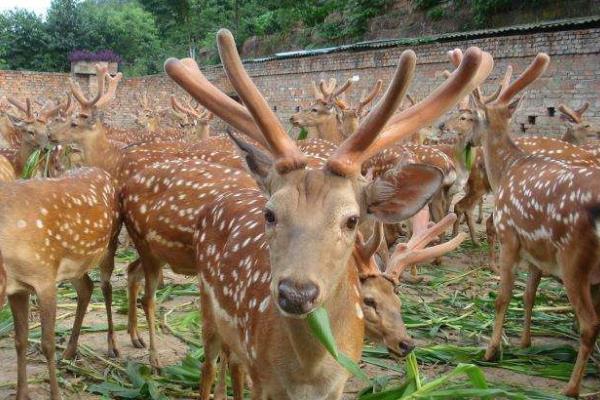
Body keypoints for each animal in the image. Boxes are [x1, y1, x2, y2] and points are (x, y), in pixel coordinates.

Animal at [165, 28, 492, 400]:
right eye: (269, 214)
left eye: (352, 220)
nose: (296, 293)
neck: (308, 375)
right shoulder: (263, 377)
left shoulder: (339, 382)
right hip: (208, 308)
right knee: (209, 365)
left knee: (232, 364)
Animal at [466, 52, 600, 396]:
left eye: (473, 118)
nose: (469, 143)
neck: (506, 170)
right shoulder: (536, 253)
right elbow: (529, 295)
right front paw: (525, 342)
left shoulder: (511, 238)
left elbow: (503, 297)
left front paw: (492, 349)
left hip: (574, 260)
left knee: (590, 323)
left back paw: (571, 388)